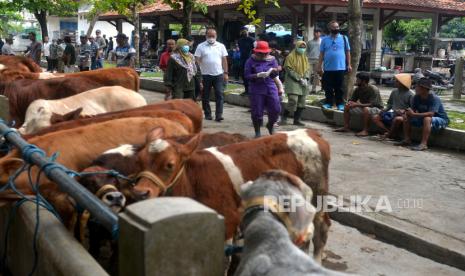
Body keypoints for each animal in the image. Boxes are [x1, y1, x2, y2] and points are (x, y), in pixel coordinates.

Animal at [132, 128, 332, 262]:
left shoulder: (227, 223)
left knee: (321, 228)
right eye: (139, 161)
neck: (194, 180)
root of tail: (311, 132)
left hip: (317, 196)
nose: (140, 192)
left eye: (169, 165)